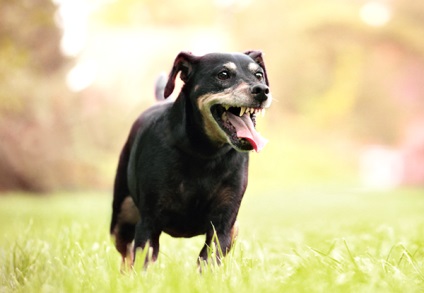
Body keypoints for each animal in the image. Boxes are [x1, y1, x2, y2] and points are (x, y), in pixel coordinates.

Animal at [110, 50, 272, 266]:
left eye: (259, 75)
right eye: (223, 74)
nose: (262, 90)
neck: (204, 153)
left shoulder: (223, 223)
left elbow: (209, 259)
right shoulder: (149, 221)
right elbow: (142, 259)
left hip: (235, 228)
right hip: (121, 217)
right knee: (126, 254)